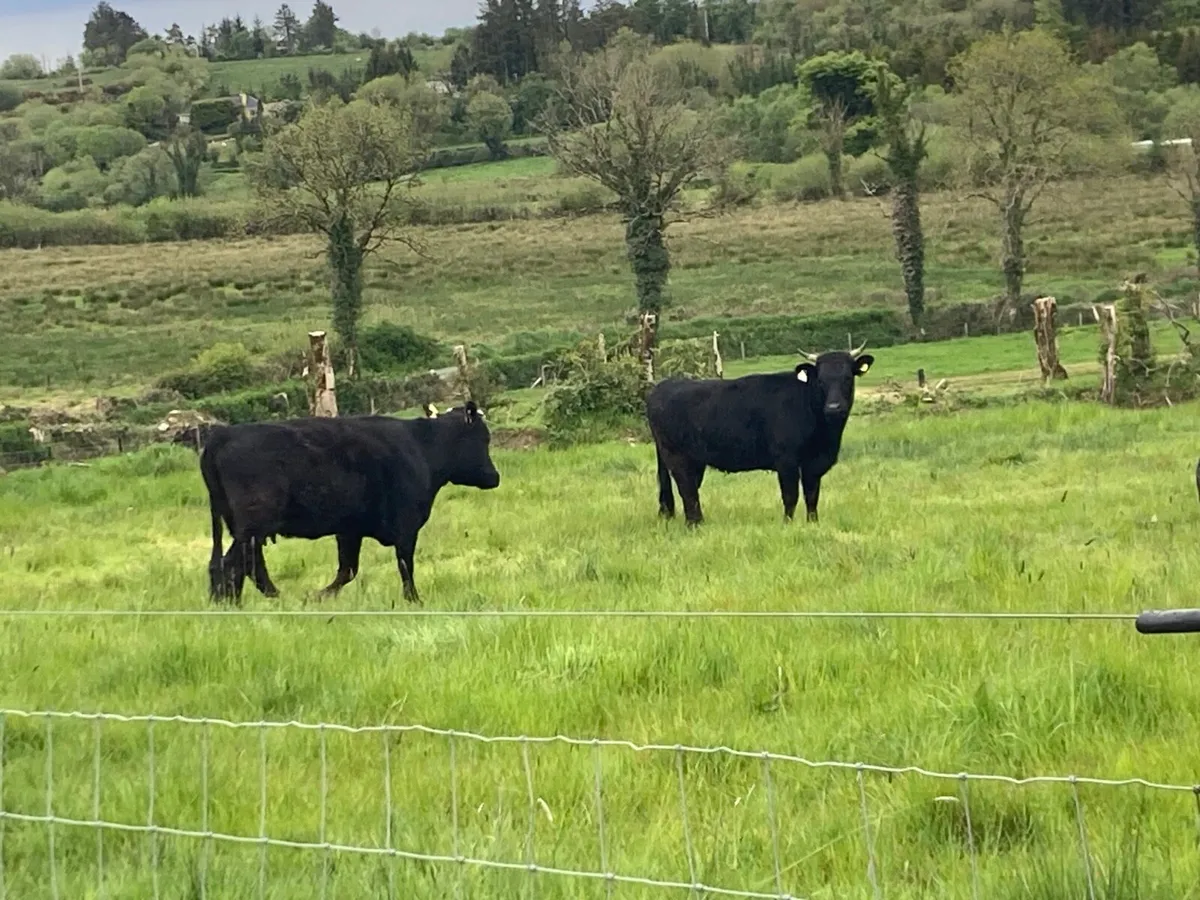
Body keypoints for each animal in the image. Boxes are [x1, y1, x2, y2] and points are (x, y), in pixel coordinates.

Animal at [199, 402, 500, 604]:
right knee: (232, 564)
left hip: (247, 528)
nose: (495, 476)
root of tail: (222, 436)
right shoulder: (405, 526)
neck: (423, 448)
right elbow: (405, 565)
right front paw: (414, 600)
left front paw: (318, 595)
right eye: (483, 438)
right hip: (254, 524)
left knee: (242, 564)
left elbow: (348, 569)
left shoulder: (350, 529)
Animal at [646, 344, 874, 526]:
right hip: (676, 456)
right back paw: (695, 524)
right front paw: (787, 524)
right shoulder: (786, 461)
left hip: (694, 460)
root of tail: (664, 385)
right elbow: (790, 496)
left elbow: (812, 495)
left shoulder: (813, 464)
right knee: (686, 489)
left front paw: (813, 523)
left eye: (847, 378)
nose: (834, 408)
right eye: (821, 380)